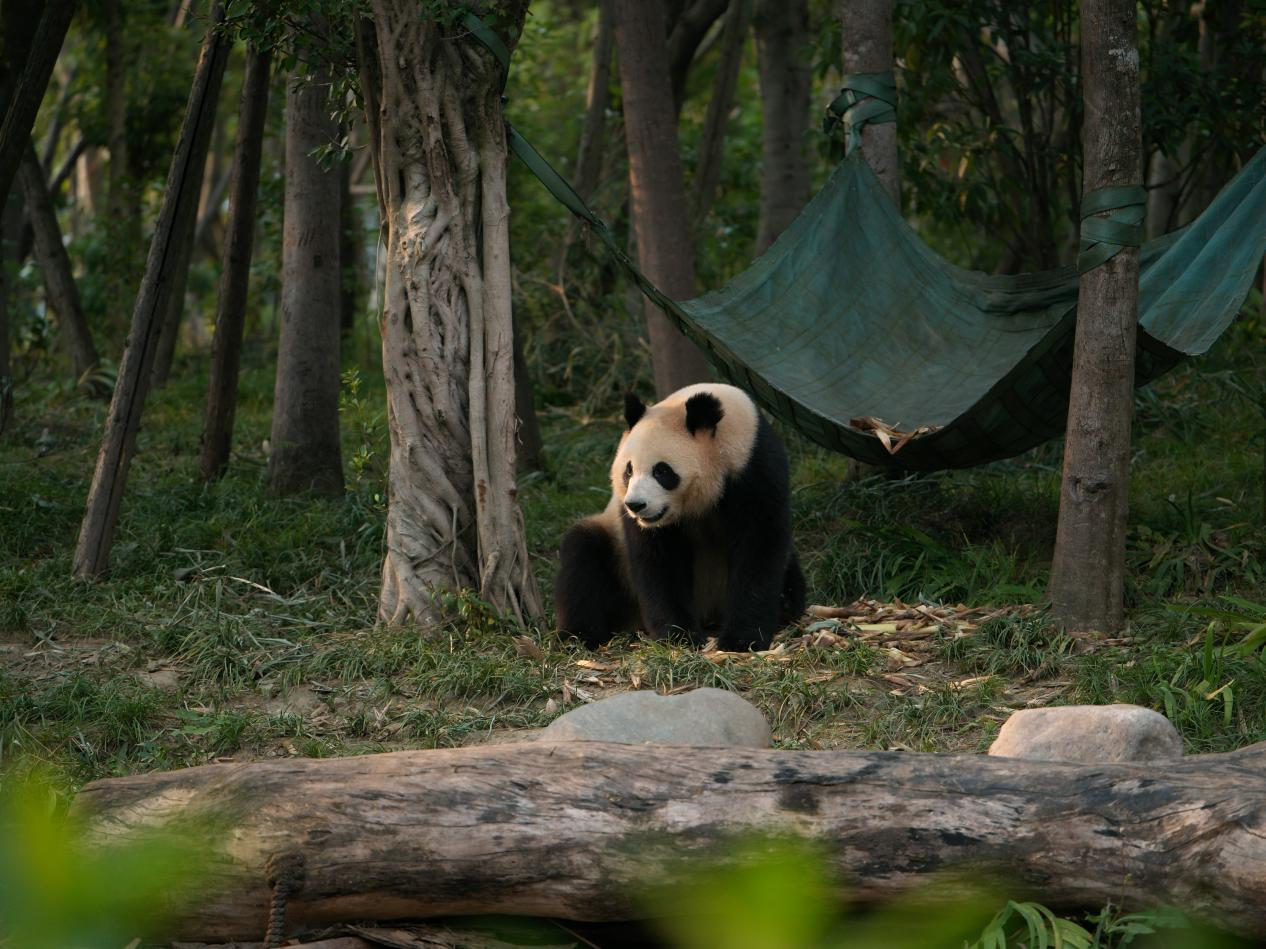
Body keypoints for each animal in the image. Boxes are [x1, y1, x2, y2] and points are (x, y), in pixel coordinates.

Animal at [551, 382, 800, 652]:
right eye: (628, 470)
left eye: (662, 471)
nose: (636, 505)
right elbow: (658, 562)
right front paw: (678, 637)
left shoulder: (755, 468)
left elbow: (759, 545)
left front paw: (742, 639)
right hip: (616, 556)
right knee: (581, 556)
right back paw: (577, 637)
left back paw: (787, 604)